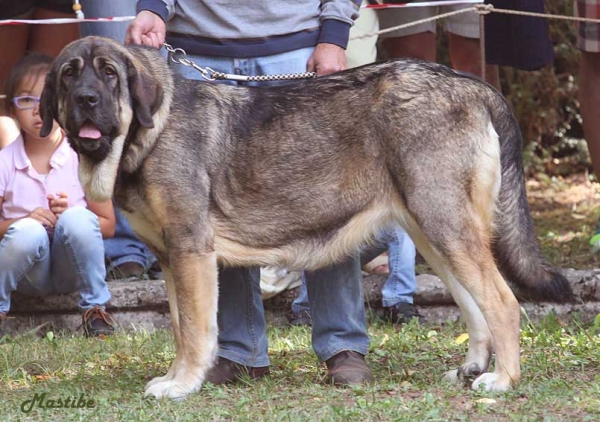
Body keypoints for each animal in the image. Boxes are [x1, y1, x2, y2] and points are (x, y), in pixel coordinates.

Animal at [39, 36, 576, 398]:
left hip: (446, 227)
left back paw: (502, 380)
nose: (86, 99)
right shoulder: (173, 260)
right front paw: (177, 378)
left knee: (503, 302)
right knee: (474, 306)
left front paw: (183, 385)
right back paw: (471, 369)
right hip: (434, 233)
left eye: (109, 73)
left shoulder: (191, 252)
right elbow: (179, 328)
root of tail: (474, 85)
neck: (149, 131)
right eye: (70, 74)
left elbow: (194, 332)